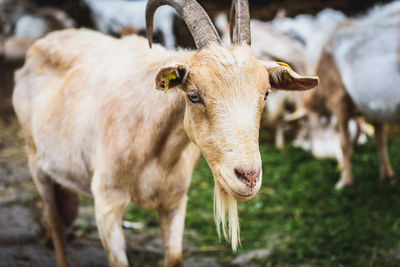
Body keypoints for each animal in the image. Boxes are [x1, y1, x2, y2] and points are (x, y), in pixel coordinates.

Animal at [12, 1, 318, 266]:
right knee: (55, 224)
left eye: (265, 93)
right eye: (194, 95)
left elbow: (174, 257)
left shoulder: (175, 202)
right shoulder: (107, 203)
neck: (155, 150)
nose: (248, 177)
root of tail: (40, 44)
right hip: (36, 164)